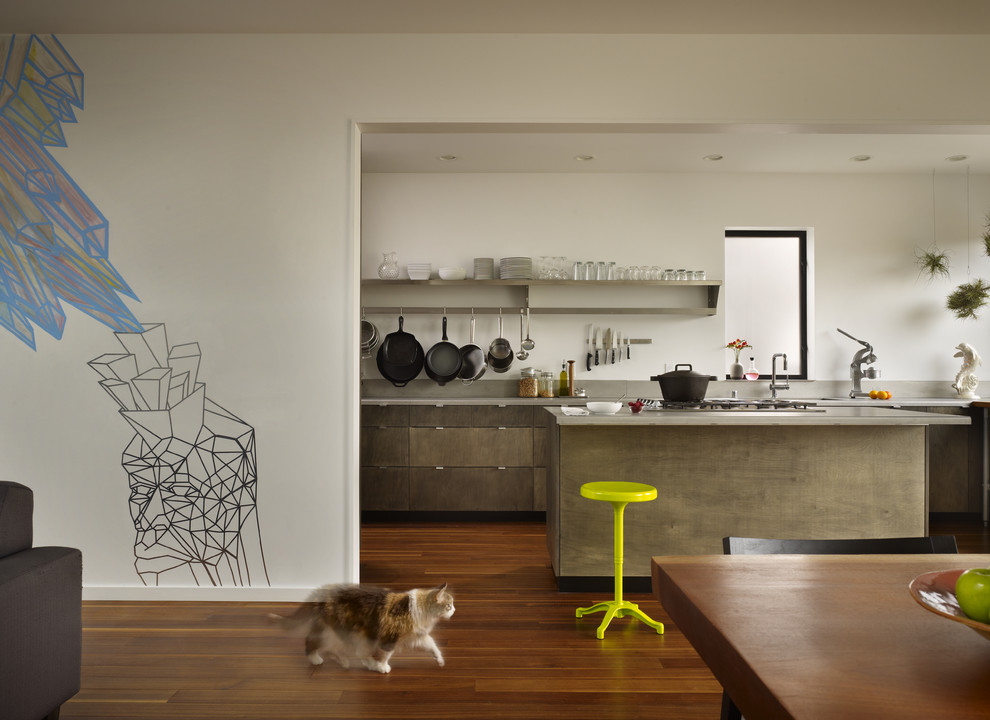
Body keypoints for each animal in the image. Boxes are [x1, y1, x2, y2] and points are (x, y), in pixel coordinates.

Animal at [272, 584, 458, 672]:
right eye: (448, 605)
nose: (455, 610)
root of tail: (321, 591)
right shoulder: (389, 637)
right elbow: (384, 654)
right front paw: (382, 667)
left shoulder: (416, 637)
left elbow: (432, 645)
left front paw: (440, 659)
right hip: (345, 630)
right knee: (317, 642)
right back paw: (320, 659)